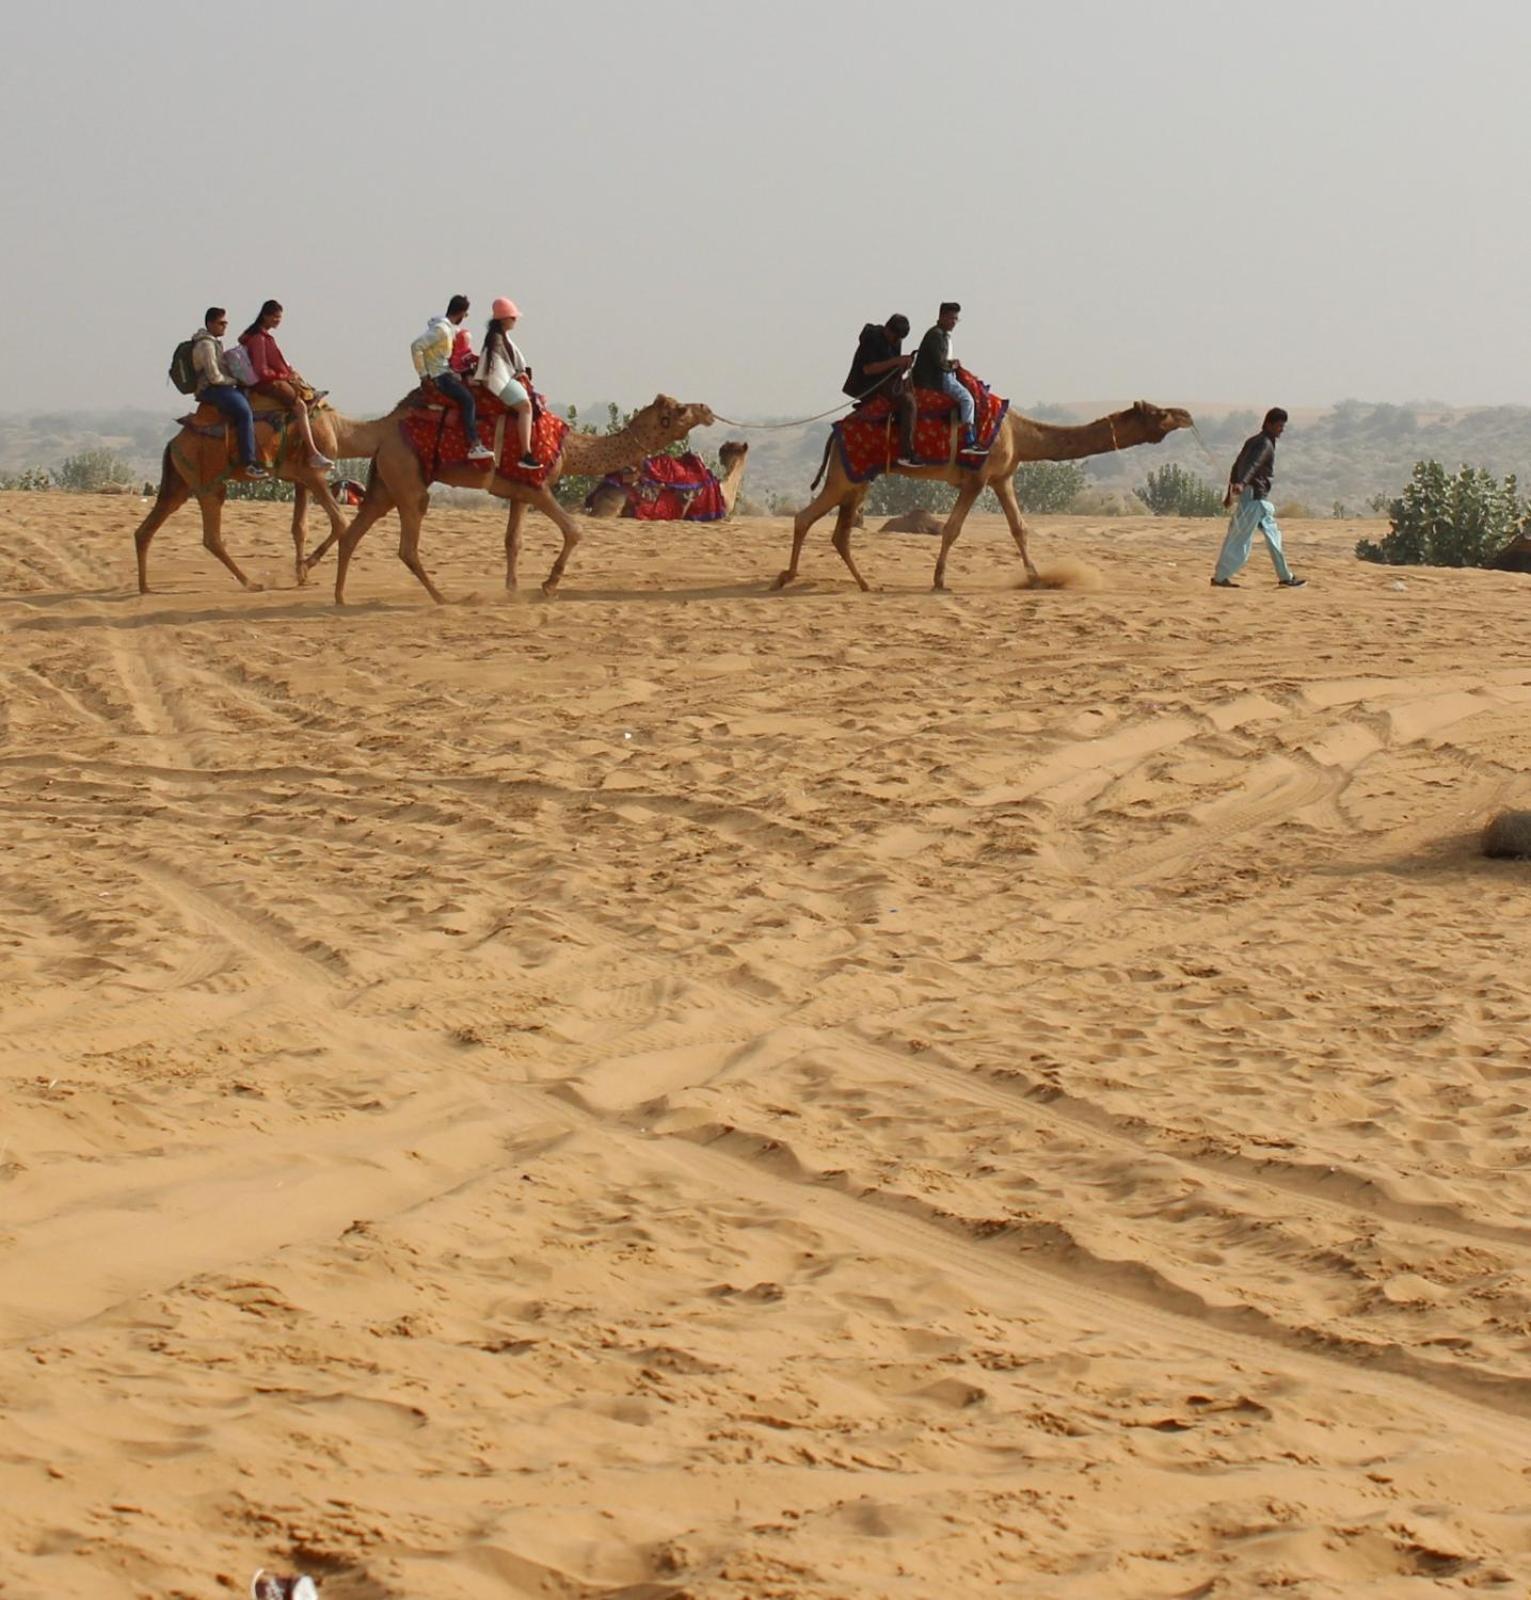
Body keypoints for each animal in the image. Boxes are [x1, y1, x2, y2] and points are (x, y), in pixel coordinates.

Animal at [303, 393, 723, 604]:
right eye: (680, 409)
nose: (706, 408)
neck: (567, 447)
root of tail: (384, 428)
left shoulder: (517, 490)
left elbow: (513, 540)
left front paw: (512, 588)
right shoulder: (538, 485)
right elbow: (574, 530)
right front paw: (549, 585)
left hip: (385, 481)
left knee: (354, 532)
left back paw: (340, 597)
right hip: (407, 478)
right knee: (406, 544)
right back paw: (442, 597)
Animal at [777, 390, 1196, 592]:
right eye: (1160, 414)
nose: (1187, 415)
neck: (1020, 433)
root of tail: (834, 432)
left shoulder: (1002, 477)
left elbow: (1019, 528)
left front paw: (1037, 580)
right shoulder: (977, 478)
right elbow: (952, 529)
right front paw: (939, 582)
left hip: (858, 478)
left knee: (838, 532)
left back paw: (863, 583)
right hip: (847, 476)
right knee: (806, 518)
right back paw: (788, 577)